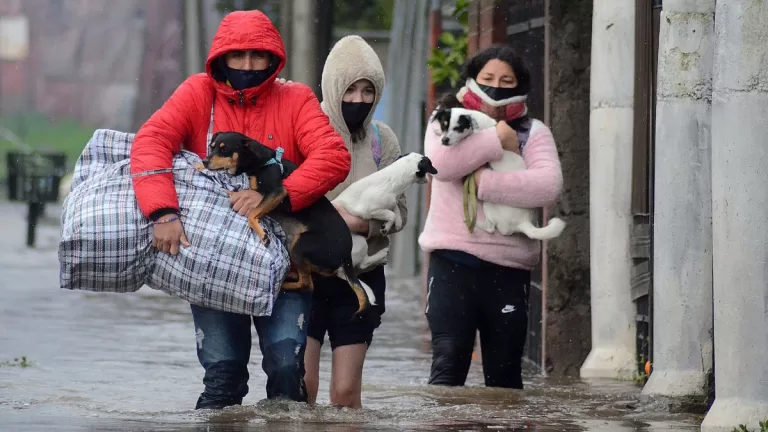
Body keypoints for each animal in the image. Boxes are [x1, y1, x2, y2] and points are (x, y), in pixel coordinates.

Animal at [432, 104, 564, 240]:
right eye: (443, 125)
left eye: (458, 128)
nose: (444, 140)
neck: (475, 120)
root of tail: (523, 222)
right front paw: (437, 131)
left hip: (488, 205)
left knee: (491, 229)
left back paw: (475, 223)